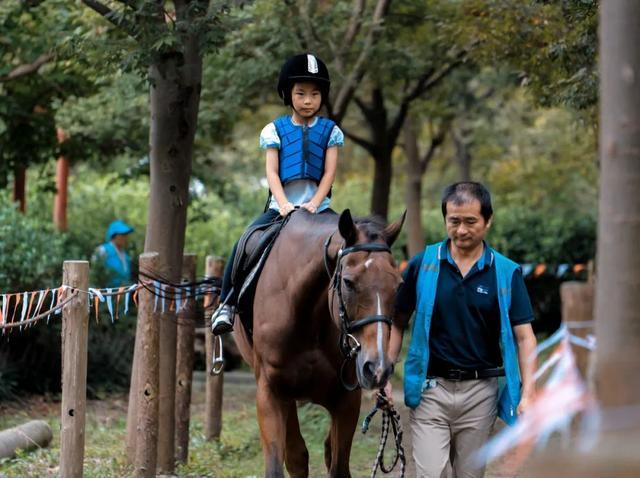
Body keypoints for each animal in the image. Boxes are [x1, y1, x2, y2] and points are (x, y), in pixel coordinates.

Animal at [234, 209, 404, 478]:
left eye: (398, 284)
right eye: (348, 282)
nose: (377, 368)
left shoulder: (347, 400)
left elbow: (338, 466)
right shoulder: (270, 393)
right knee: (297, 456)